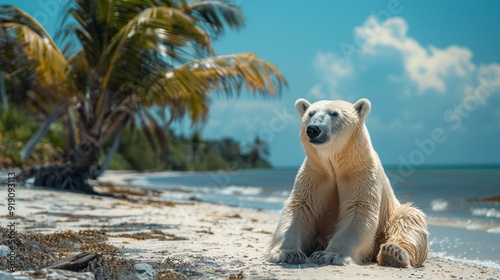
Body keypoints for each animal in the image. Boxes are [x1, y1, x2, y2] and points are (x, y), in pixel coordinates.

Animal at [266, 98, 430, 266]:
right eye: (311, 113)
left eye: (334, 113)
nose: (313, 129)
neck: (337, 164)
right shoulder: (315, 173)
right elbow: (301, 207)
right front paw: (287, 253)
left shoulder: (360, 173)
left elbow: (358, 209)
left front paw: (329, 255)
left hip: (390, 218)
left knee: (410, 220)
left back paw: (393, 253)